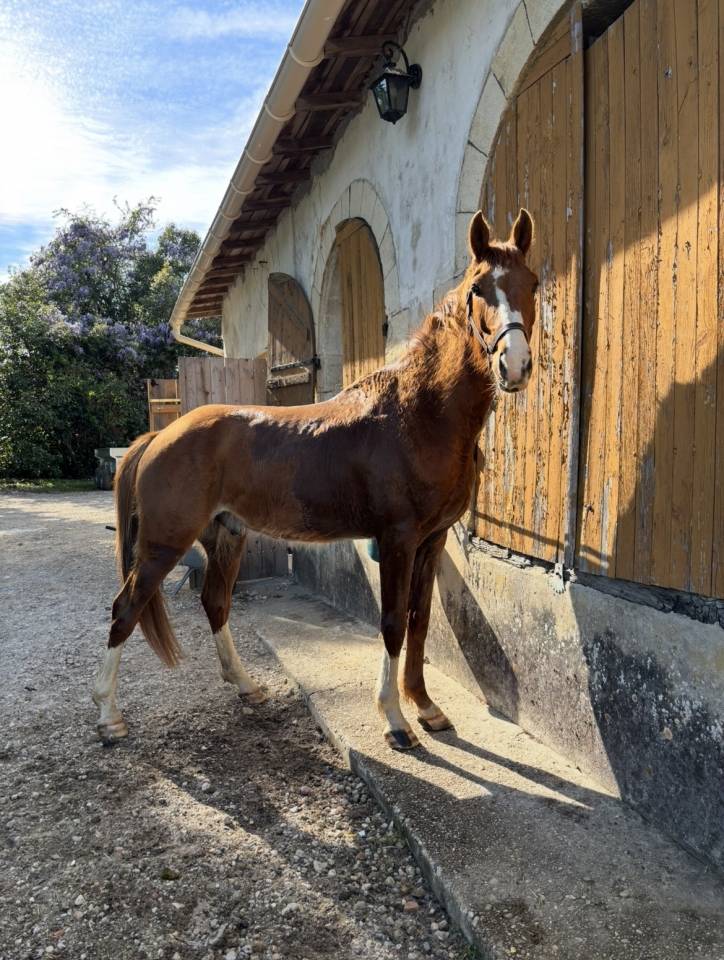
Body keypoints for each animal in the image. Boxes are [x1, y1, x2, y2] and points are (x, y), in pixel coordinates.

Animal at [93, 208, 538, 750]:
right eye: (478, 288)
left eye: (532, 283)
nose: (514, 365)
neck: (421, 414)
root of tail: (160, 435)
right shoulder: (398, 539)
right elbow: (393, 623)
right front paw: (395, 720)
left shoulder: (432, 541)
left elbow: (420, 621)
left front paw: (427, 708)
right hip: (163, 544)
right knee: (126, 608)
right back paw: (109, 717)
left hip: (226, 536)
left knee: (215, 603)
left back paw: (247, 687)